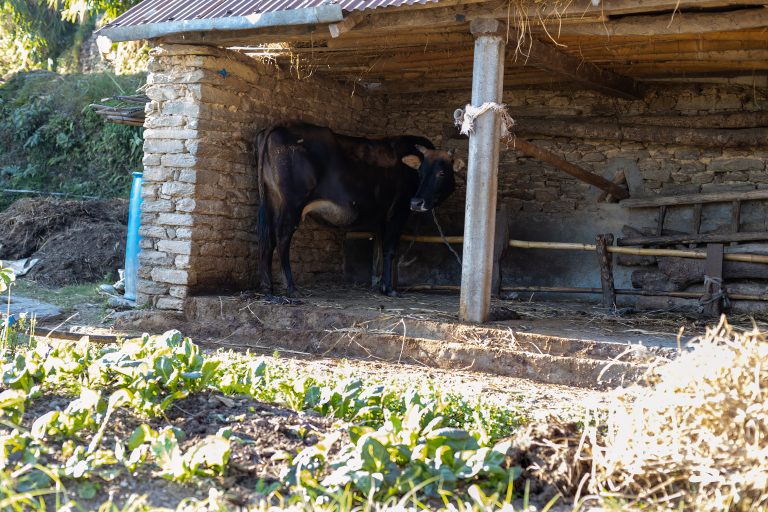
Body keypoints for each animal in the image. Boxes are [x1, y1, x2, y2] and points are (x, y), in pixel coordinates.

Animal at [256, 123, 462, 296]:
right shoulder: (398, 212)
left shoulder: (382, 217)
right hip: (292, 204)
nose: (417, 202)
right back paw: (291, 288)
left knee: (268, 239)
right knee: (282, 238)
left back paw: (268, 289)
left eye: (441, 173)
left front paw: (382, 285)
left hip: (272, 200)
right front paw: (389, 289)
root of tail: (279, 126)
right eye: (419, 172)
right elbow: (390, 249)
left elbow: (381, 249)